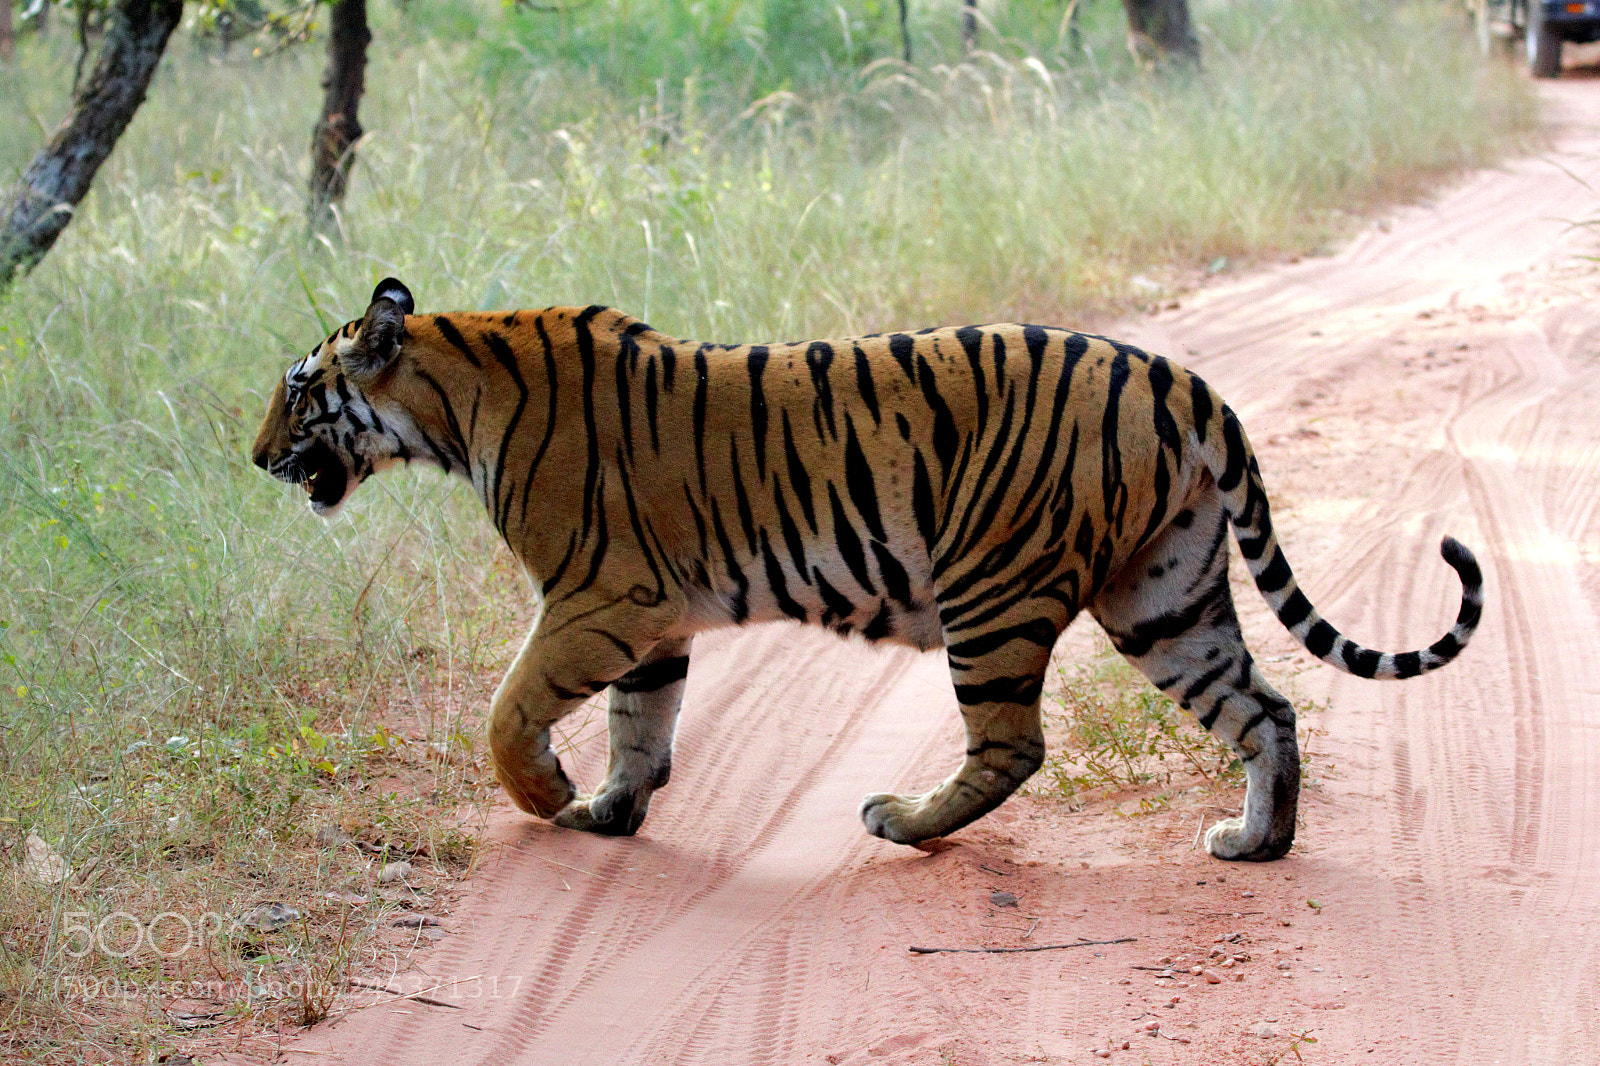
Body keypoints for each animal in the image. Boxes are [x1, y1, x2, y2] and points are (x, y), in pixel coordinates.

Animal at [251, 278, 1483, 862]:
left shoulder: (599, 598)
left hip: (992, 585)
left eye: (298, 390)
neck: (451, 399)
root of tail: (1175, 375)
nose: (257, 457)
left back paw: (903, 819)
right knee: (1264, 706)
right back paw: (1256, 843)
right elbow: (640, 723)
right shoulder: (653, 621)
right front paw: (610, 807)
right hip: (1164, 593)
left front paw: (551, 796)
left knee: (1014, 746)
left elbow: (511, 713)